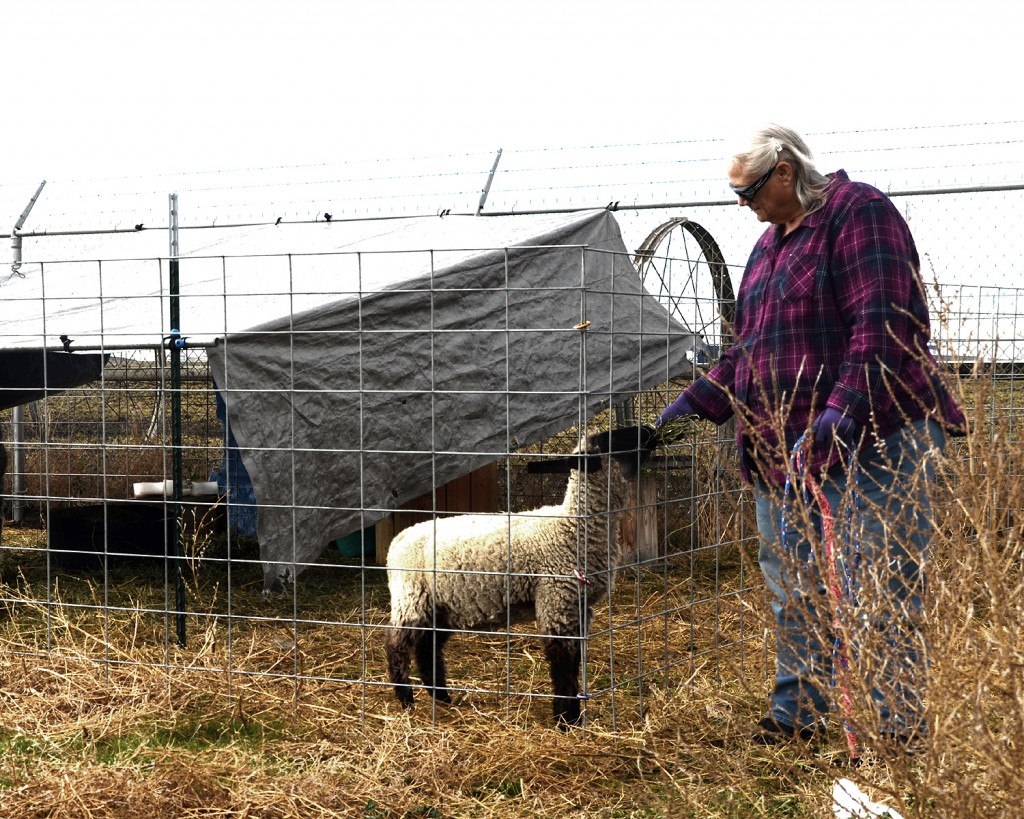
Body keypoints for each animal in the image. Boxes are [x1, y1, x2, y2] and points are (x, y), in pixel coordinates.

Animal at [384, 425, 658, 728]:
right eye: (613, 440)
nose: (650, 429)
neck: (573, 527)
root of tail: (399, 540)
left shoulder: (578, 607)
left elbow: (574, 661)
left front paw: (571, 716)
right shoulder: (556, 601)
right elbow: (563, 664)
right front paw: (567, 720)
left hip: (443, 605)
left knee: (427, 647)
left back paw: (442, 697)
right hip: (412, 598)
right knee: (396, 645)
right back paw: (406, 699)